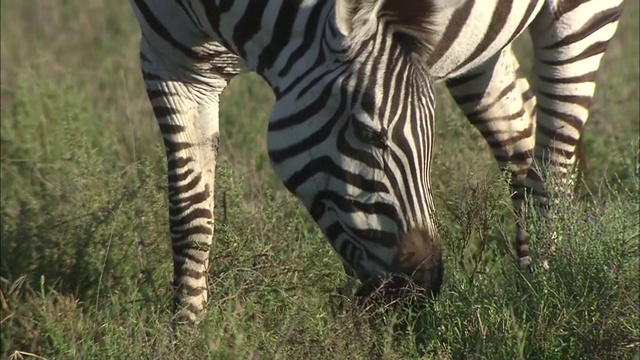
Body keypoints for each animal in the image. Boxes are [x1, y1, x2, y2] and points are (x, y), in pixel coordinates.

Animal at [130, 0, 624, 324]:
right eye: (369, 135)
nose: (425, 286)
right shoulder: (172, 64)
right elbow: (190, 210)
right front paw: (187, 330)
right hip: (482, 46)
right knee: (521, 152)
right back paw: (524, 292)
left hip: (579, 16)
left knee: (553, 172)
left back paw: (541, 300)